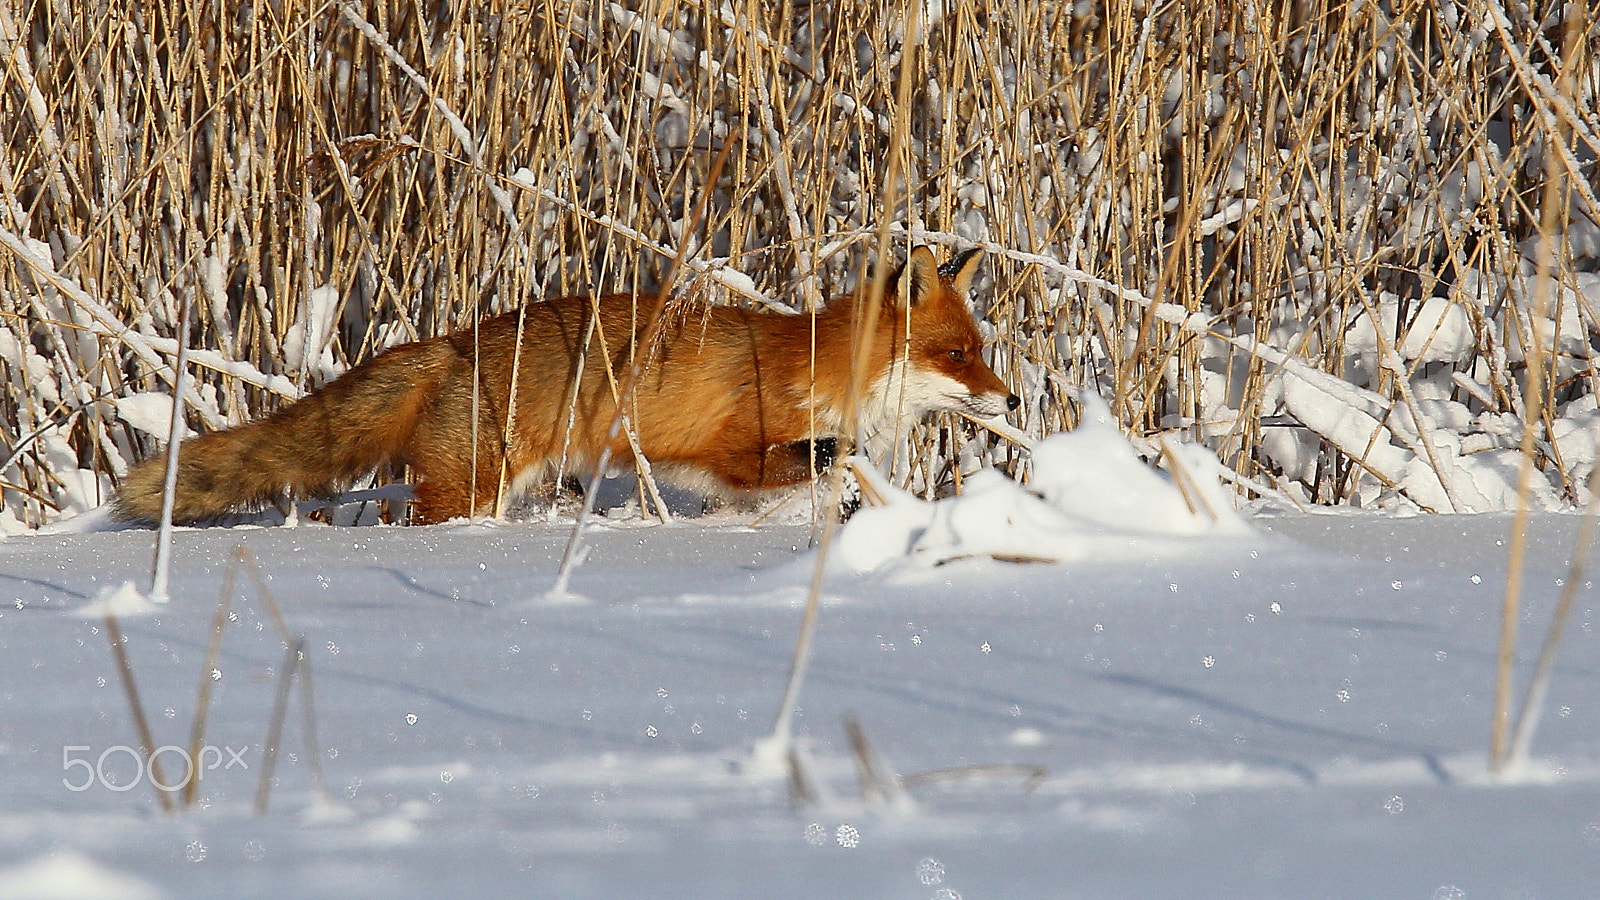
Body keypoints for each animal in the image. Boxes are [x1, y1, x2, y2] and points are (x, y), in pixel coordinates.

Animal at [112, 245, 1018, 526]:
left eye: (981, 349)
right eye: (958, 355)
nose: (1012, 399)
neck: (824, 367)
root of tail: (450, 342)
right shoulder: (731, 445)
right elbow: (807, 455)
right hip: (470, 488)